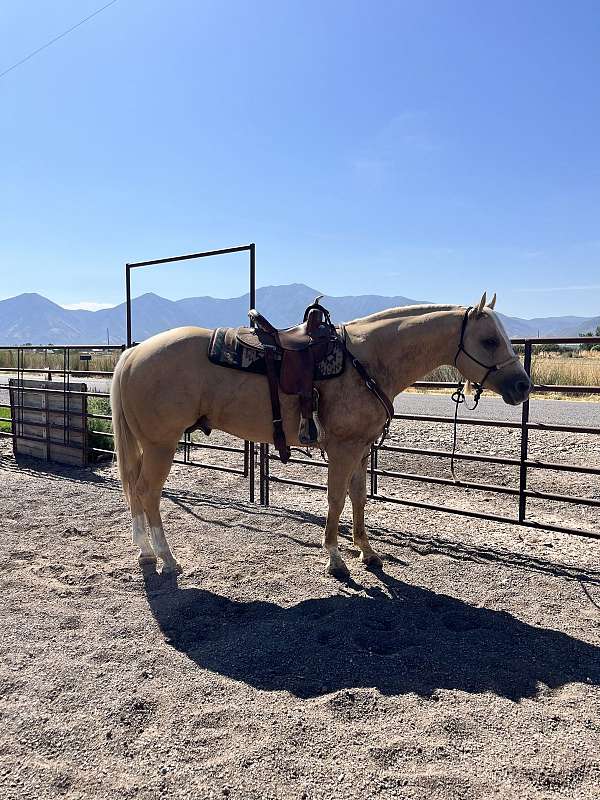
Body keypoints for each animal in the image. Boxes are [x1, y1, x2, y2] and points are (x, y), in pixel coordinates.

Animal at [111, 290, 528, 580]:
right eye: (490, 340)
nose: (522, 386)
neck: (368, 360)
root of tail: (132, 355)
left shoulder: (361, 449)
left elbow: (358, 499)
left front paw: (367, 552)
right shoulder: (343, 449)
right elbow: (336, 500)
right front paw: (335, 558)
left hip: (147, 445)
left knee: (134, 488)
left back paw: (144, 551)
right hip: (161, 445)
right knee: (147, 493)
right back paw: (166, 557)